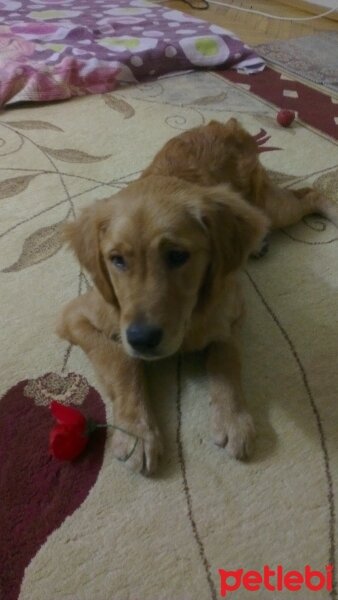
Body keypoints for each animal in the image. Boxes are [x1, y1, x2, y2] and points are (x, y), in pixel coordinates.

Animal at [56, 118, 336, 474]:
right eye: (117, 259)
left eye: (178, 256)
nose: (142, 339)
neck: (187, 317)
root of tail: (225, 126)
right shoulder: (76, 317)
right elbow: (121, 361)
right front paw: (137, 432)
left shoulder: (232, 309)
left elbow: (226, 358)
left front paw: (233, 419)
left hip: (270, 207)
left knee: (309, 193)